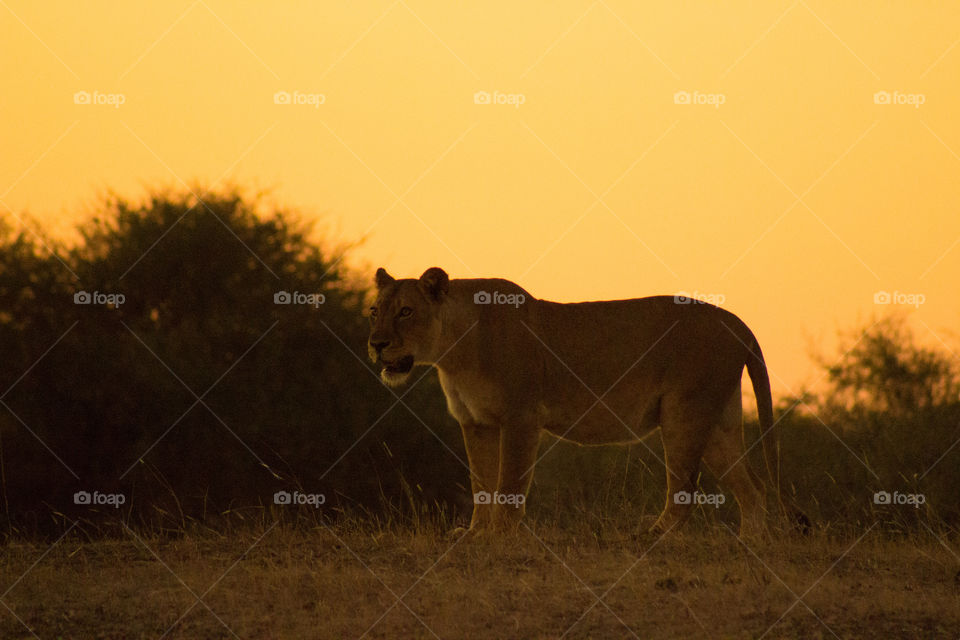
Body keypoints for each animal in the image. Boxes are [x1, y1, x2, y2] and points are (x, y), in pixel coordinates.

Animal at [367, 267, 807, 538]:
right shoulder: (475, 423)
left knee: (686, 490)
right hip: (718, 424)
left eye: (406, 311)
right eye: (374, 311)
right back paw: (749, 543)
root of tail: (736, 321)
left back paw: (649, 536)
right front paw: (475, 533)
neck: (454, 352)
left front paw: (500, 535)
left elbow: (509, 483)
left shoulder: (521, 417)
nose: (376, 344)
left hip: (683, 413)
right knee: (753, 488)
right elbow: (481, 484)